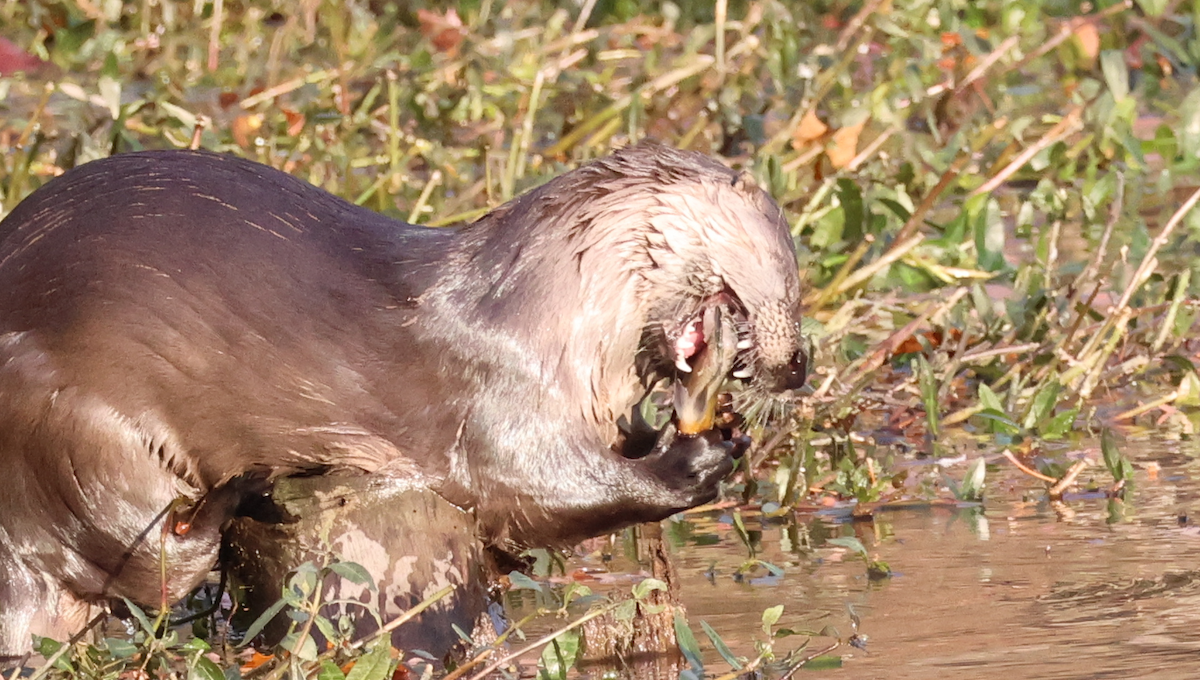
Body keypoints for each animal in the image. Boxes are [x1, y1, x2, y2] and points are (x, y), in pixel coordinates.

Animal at [0, 143, 805, 656]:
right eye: (792, 274)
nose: (800, 365)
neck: (552, 314)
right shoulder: (499, 397)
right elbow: (532, 488)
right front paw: (699, 457)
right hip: (72, 433)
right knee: (149, 563)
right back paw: (239, 491)